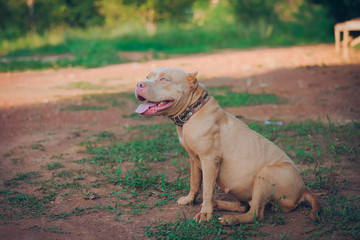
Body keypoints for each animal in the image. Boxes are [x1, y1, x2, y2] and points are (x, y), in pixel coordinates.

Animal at [134, 66, 320, 224]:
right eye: (147, 77)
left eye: (164, 79)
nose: (139, 84)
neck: (193, 110)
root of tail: (304, 189)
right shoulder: (194, 159)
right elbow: (195, 183)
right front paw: (190, 200)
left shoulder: (210, 160)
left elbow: (207, 189)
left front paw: (205, 213)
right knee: (245, 205)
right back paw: (219, 205)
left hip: (266, 174)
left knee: (255, 213)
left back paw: (230, 219)